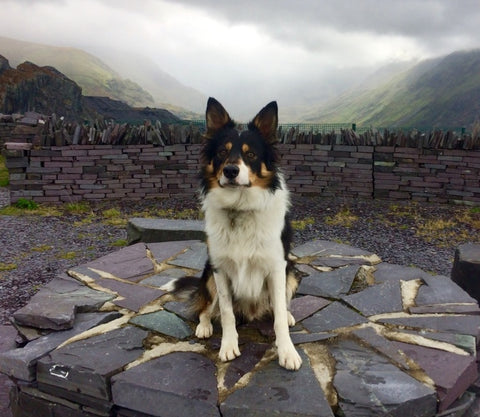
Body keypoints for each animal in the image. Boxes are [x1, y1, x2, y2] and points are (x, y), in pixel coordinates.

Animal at [171, 98, 302, 370]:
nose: (231, 171)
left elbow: (279, 317)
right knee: (205, 308)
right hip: (208, 274)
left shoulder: (277, 267)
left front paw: (287, 351)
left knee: (281, 305)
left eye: (250, 154)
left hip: (292, 272)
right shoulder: (220, 269)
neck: (240, 209)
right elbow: (227, 312)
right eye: (222, 152)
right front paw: (228, 346)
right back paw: (204, 326)